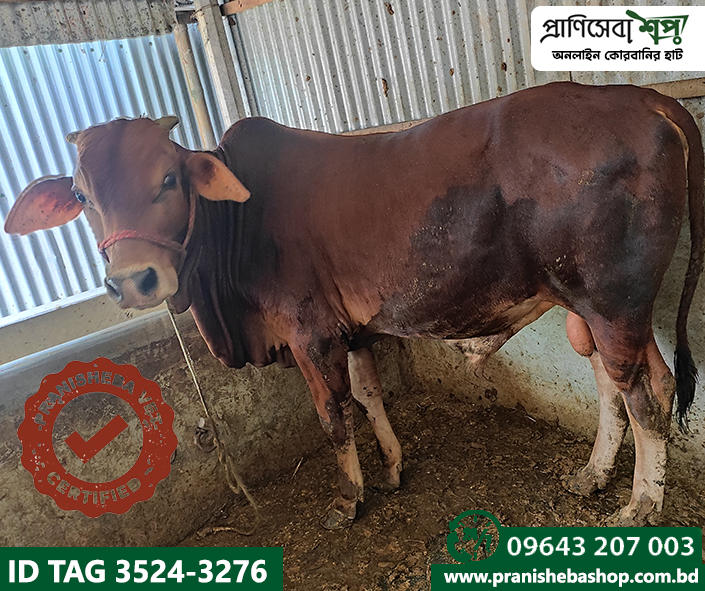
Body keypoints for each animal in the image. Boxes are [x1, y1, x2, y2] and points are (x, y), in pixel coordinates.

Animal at [4, 82, 703, 529]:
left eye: (169, 178)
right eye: (81, 194)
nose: (134, 280)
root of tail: (644, 97)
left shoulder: (308, 331)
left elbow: (333, 415)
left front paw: (347, 500)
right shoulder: (354, 329)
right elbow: (369, 395)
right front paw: (391, 469)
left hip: (613, 302)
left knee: (643, 394)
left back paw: (641, 506)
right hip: (593, 306)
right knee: (627, 383)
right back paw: (594, 476)